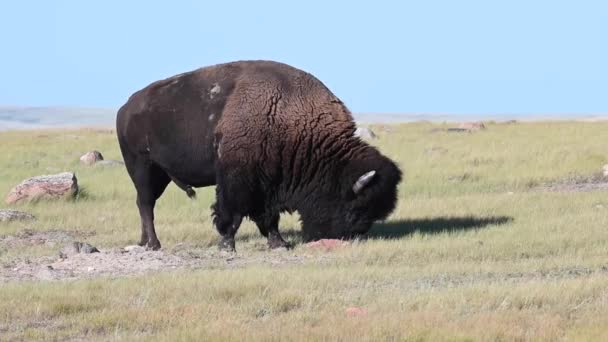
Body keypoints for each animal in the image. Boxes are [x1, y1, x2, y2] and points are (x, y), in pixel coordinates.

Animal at [117, 60, 404, 251]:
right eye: (357, 207)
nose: (350, 236)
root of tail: (125, 107)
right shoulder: (238, 181)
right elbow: (232, 213)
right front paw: (227, 244)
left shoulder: (269, 185)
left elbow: (268, 217)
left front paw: (280, 243)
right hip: (143, 168)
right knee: (146, 205)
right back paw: (154, 244)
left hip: (159, 175)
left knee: (143, 204)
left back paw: (144, 242)